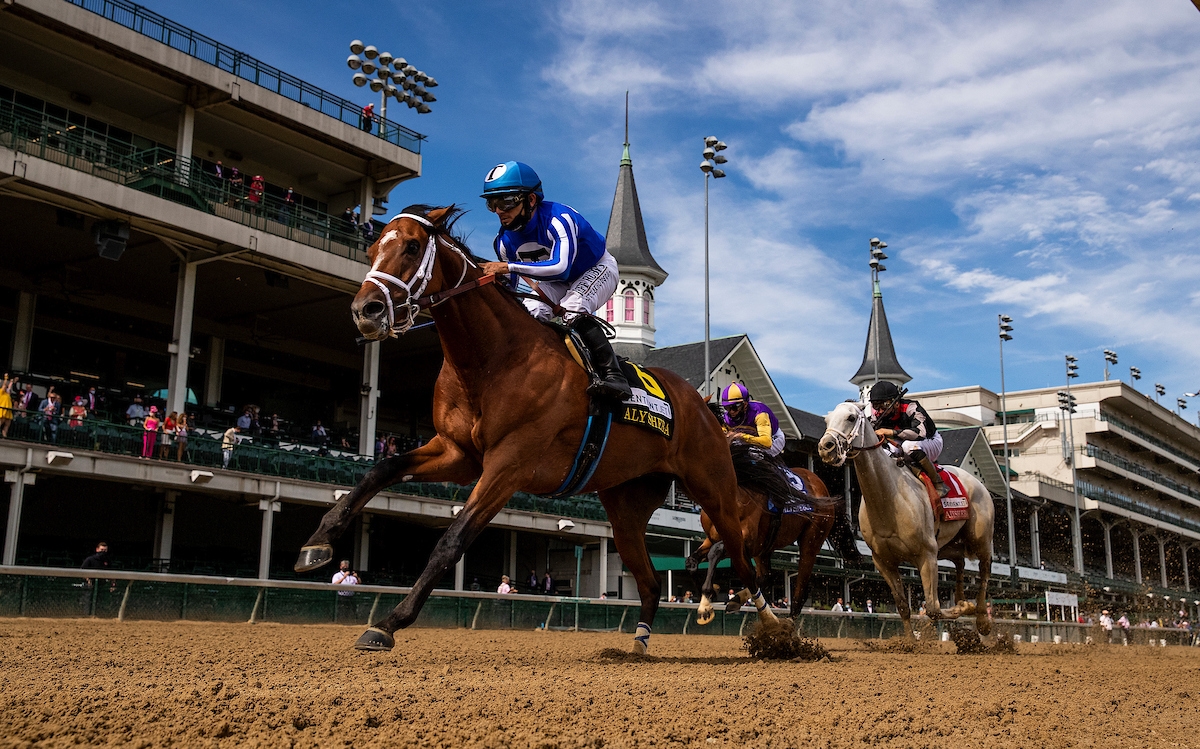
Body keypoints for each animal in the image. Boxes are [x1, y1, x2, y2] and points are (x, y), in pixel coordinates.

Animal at [290, 205, 777, 648]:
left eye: (410, 247)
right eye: (372, 248)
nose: (365, 311)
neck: (493, 358)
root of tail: (705, 407)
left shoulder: (508, 464)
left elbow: (451, 540)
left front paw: (389, 623)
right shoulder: (458, 453)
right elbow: (379, 469)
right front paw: (317, 544)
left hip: (712, 490)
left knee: (743, 561)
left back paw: (774, 627)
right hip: (627, 507)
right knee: (653, 581)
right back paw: (638, 644)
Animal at [686, 444, 864, 624]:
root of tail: (824, 490)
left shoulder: (744, 543)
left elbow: (715, 552)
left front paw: (706, 604)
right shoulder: (713, 538)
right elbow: (691, 562)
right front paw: (707, 595)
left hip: (812, 539)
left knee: (800, 588)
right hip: (765, 548)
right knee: (765, 577)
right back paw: (736, 600)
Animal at [816, 403, 993, 638]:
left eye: (851, 418)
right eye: (826, 421)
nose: (825, 447)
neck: (888, 498)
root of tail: (978, 483)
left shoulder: (927, 555)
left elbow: (933, 608)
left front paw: (963, 609)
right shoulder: (883, 561)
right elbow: (902, 607)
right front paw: (909, 641)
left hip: (979, 539)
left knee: (984, 570)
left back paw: (981, 618)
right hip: (949, 545)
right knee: (960, 563)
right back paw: (963, 600)